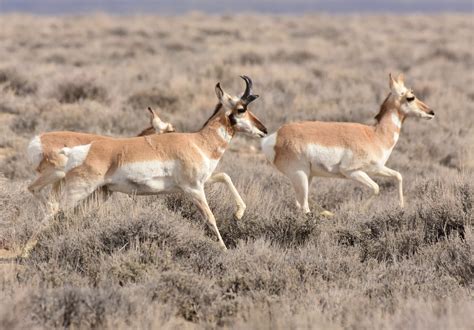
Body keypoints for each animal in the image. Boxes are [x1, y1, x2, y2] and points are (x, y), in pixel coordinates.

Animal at [56, 76, 266, 249]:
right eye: (241, 109)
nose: (263, 130)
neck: (198, 141)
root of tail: (76, 151)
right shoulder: (194, 189)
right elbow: (210, 218)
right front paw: (224, 250)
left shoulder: (202, 181)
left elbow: (225, 176)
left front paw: (238, 213)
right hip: (78, 192)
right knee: (55, 212)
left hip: (100, 193)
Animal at [262, 73, 436, 215]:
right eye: (410, 97)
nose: (431, 112)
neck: (374, 135)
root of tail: (275, 136)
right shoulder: (352, 172)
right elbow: (376, 188)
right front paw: (358, 211)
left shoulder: (376, 168)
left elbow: (398, 176)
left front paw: (401, 207)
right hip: (300, 175)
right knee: (304, 206)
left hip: (307, 176)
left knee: (300, 203)